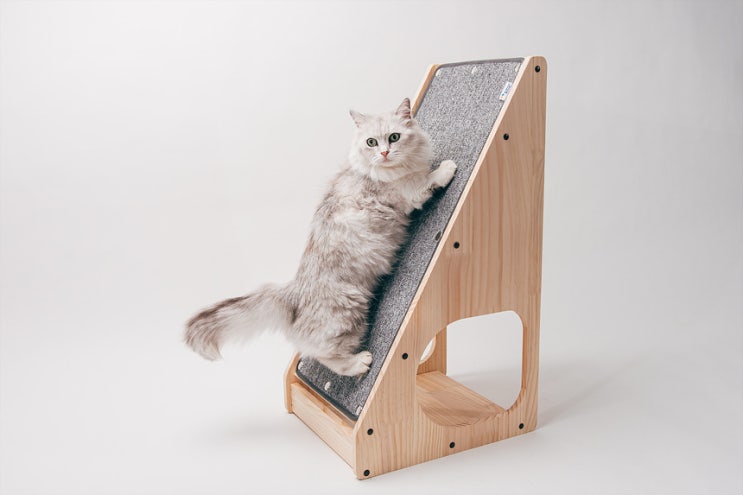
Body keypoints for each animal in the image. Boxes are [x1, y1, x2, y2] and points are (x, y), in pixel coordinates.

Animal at [184, 98, 456, 376]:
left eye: (394, 137)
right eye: (371, 142)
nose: (384, 153)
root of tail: (293, 292)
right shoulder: (409, 191)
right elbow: (429, 178)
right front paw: (447, 167)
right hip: (348, 313)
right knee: (324, 356)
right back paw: (359, 363)